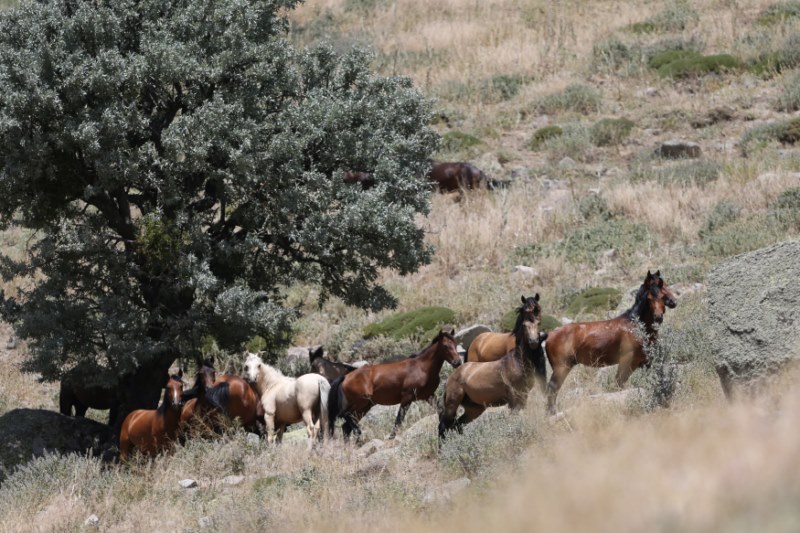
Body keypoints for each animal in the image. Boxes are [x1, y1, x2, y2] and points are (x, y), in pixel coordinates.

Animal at [326, 330, 462, 438]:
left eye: (455, 344)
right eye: (445, 346)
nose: (458, 362)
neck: (422, 368)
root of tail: (346, 377)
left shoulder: (428, 396)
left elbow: (441, 411)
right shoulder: (407, 398)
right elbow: (399, 419)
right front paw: (392, 436)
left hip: (364, 406)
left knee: (346, 427)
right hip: (360, 403)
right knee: (345, 415)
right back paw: (359, 434)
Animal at [438, 302, 552, 438]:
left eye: (539, 323)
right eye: (524, 325)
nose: (533, 342)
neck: (518, 362)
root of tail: (450, 377)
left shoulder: (523, 396)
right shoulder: (513, 398)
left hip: (475, 409)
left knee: (457, 425)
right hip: (452, 405)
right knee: (443, 426)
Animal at [544, 270, 676, 416]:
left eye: (663, 292)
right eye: (649, 298)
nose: (658, 317)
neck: (636, 326)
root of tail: (549, 335)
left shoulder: (647, 362)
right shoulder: (627, 361)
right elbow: (619, 383)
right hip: (561, 368)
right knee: (552, 389)